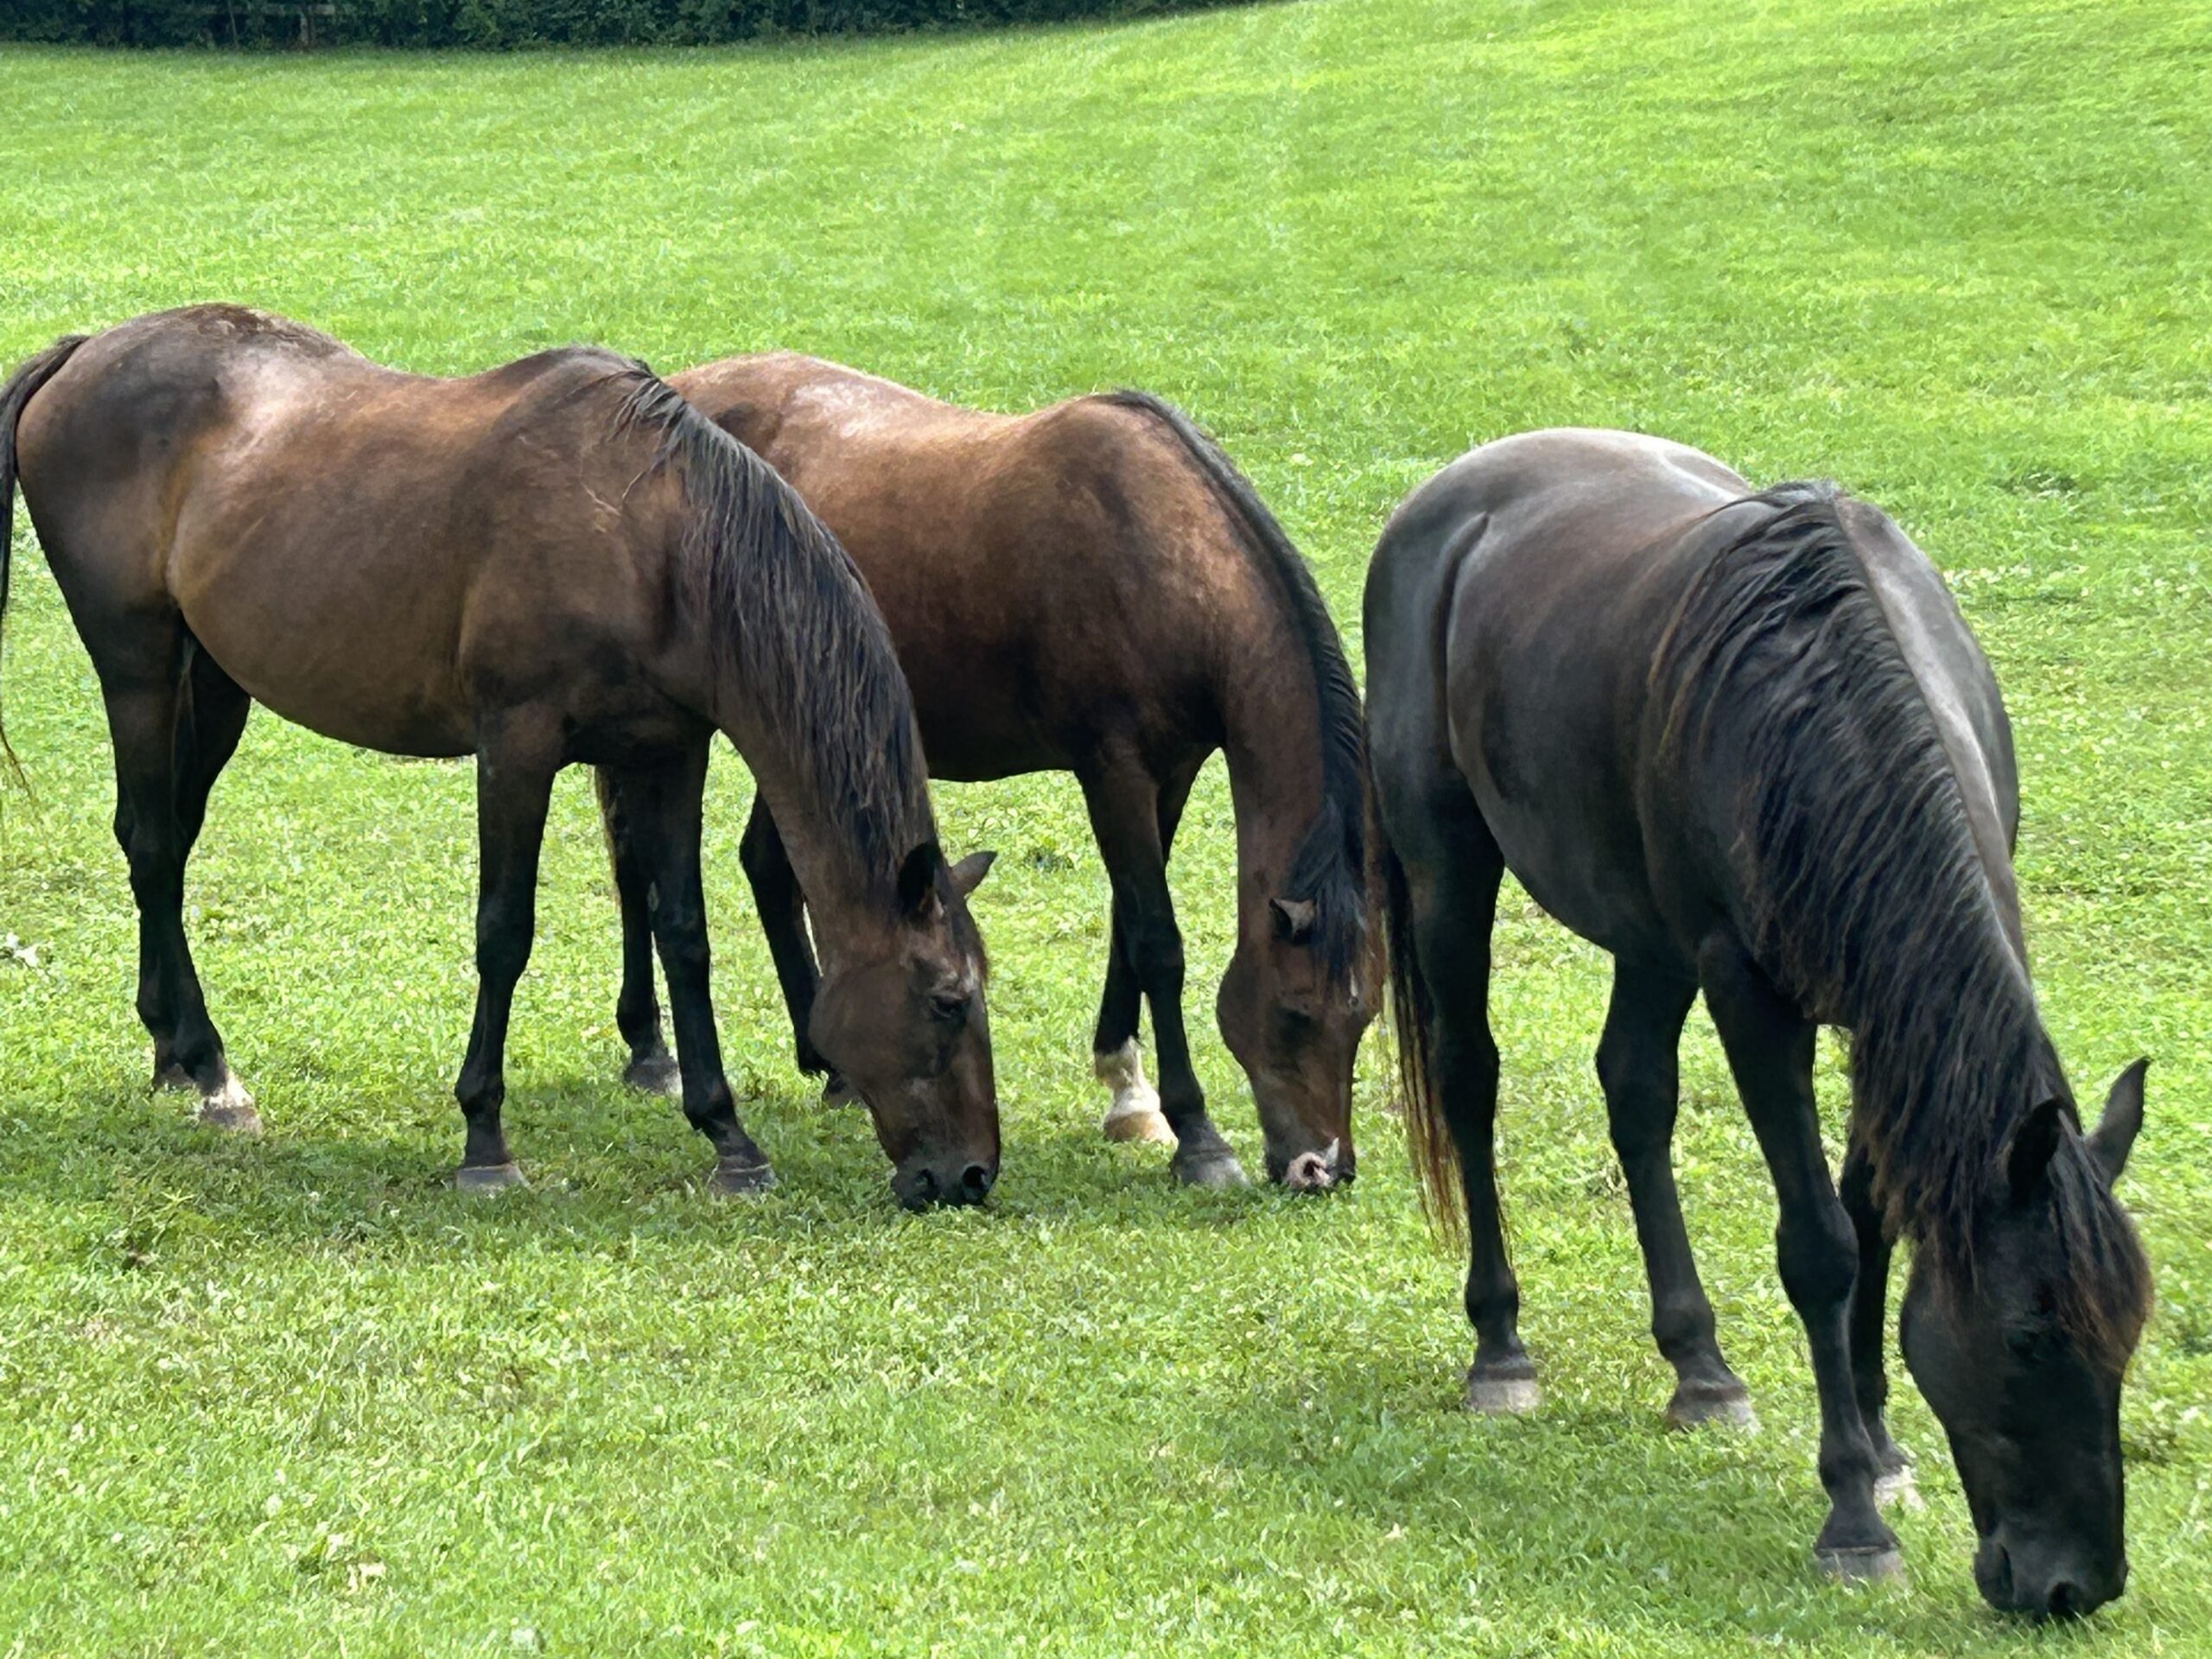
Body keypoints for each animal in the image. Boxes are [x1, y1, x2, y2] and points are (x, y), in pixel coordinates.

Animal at [0, 306, 1001, 1210]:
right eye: (947, 1001)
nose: (967, 1176)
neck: (648, 540)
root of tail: (83, 352)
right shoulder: (515, 747)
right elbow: (504, 931)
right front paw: (484, 1138)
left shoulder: (669, 753)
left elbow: (683, 932)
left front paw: (729, 1138)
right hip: (136, 666)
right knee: (151, 844)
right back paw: (212, 1073)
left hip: (211, 684)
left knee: (165, 843)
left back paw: (171, 1049)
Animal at [600, 353, 1376, 1190]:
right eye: (1295, 1014)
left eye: (1365, 1016)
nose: (1321, 1166)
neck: (1166, 553)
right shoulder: (1114, 771)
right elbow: (1158, 943)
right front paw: (1197, 1135)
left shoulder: (1169, 775)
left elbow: (1127, 927)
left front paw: (1128, 1094)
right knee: (637, 866)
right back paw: (651, 1053)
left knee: (766, 868)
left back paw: (833, 1070)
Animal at [1364, 428, 2151, 1612]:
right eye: (2025, 1338)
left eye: (2129, 1333)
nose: (2075, 1587)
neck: (1828, 719)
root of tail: (1448, 493)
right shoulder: (1751, 996)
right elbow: (1819, 1244)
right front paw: (1853, 1517)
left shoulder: (1885, 1021)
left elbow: (1872, 1215)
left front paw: (1881, 1443)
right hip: (1447, 869)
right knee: (1469, 1078)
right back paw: (1500, 1350)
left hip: (1646, 933)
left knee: (1634, 1092)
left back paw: (1699, 1367)